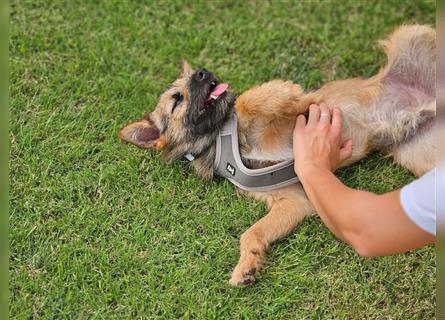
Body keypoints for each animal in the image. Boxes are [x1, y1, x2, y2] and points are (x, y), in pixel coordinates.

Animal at [117, 23, 434, 286]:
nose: (202, 71)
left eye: (193, 79)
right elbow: (253, 232)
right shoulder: (292, 201)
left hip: (411, 33)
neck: (222, 141)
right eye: (177, 99)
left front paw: (299, 93)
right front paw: (248, 263)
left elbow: (254, 98)